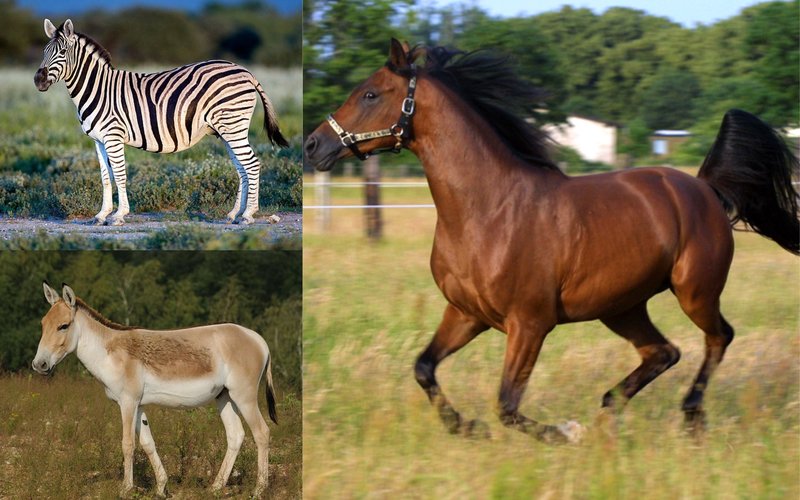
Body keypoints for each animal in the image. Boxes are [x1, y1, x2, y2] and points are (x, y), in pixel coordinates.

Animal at [32, 282, 278, 497]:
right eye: (42, 324)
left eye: (63, 326)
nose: (39, 365)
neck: (111, 353)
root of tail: (259, 339)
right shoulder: (138, 405)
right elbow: (148, 444)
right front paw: (161, 488)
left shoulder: (128, 402)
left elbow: (128, 444)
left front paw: (125, 489)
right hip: (224, 397)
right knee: (235, 435)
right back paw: (216, 488)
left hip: (244, 397)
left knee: (262, 433)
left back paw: (258, 490)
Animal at [304, 39, 799, 443]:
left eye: (370, 93)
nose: (313, 145)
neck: (488, 210)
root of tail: (705, 188)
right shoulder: (465, 314)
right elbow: (424, 368)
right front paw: (467, 428)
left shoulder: (530, 323)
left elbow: (506, 404)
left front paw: (564, 432)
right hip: (620, 306)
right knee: (664, 352)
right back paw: (609, 409)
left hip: (695, 291)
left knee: (718, 338)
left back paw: (689, 416)